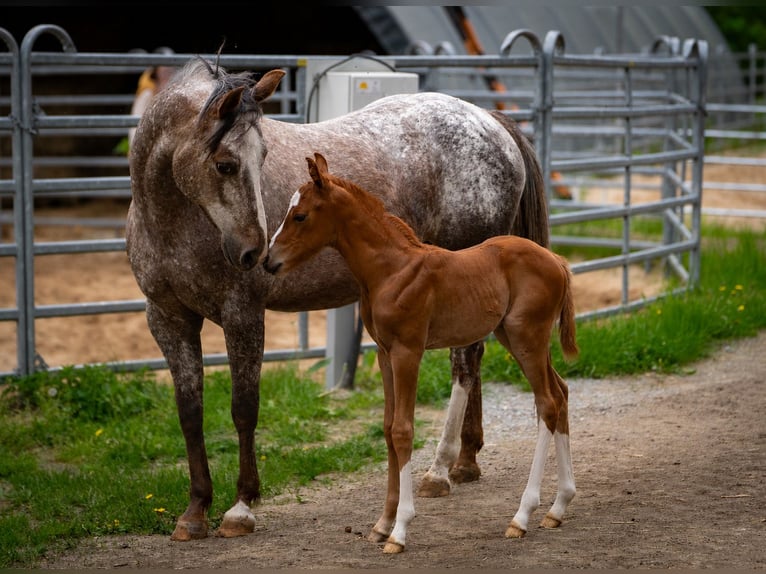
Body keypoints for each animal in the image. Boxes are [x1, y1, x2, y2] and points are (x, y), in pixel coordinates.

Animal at [126, 55, 550, 541]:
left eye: (261, 157)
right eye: (226, 165)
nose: (254, 252)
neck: (169, 222)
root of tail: (489, 121)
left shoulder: (243, 316)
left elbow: (243, 409)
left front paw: (241, 508)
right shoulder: (167, 319)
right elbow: (190, 413)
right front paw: (195, 511)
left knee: (464, 366)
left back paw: (439, 470)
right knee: (471, 361)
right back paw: (465, 462)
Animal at [264, 153, 578, 553]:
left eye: (300, 216)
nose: (268, 261)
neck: (390, 271)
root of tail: (558, 261)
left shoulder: (408, 352)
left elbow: (403, 430)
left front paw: (399, 530)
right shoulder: (384, 354)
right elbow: (387, 429)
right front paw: (382, 524)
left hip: (528, 337)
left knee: (547, 404)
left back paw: (522, 516)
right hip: (513, 336)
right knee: (560, 393)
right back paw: (558, 507)